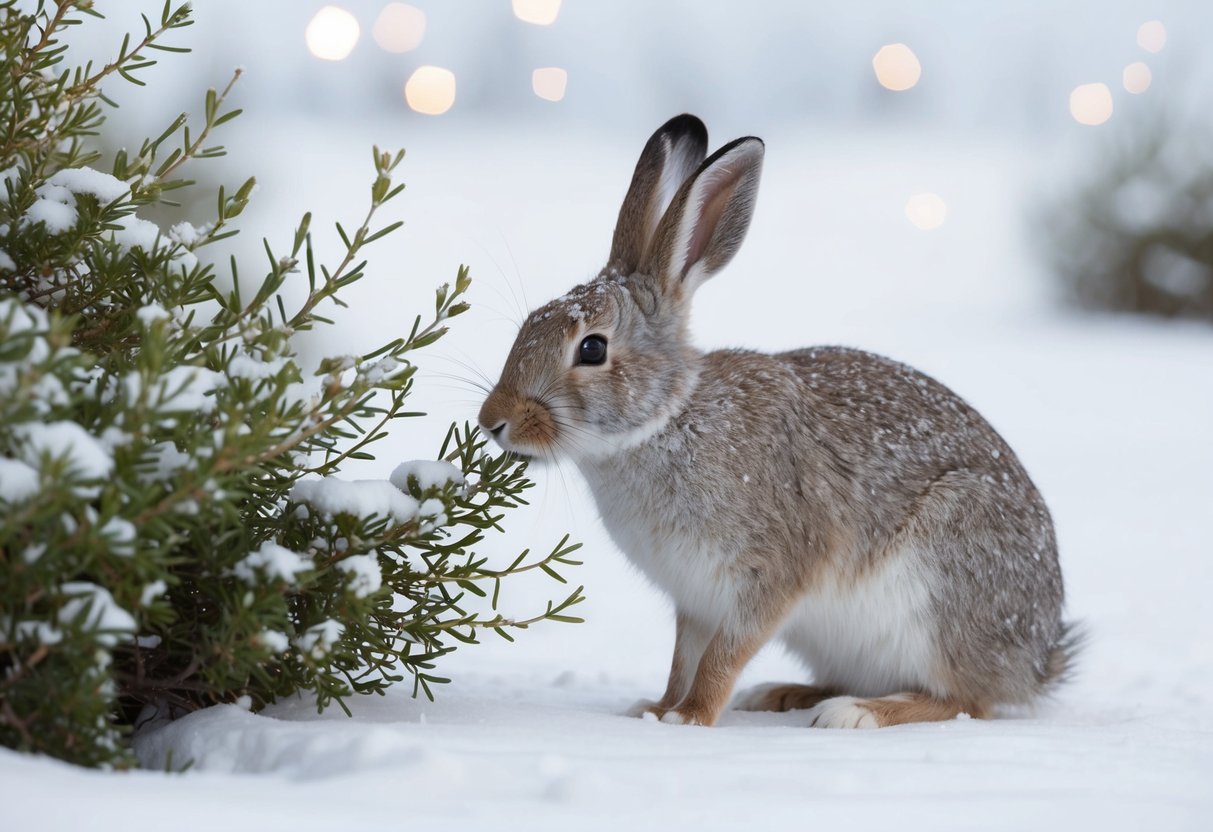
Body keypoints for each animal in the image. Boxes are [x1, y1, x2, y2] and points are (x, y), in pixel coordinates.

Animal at [478, 114, 1077, 729]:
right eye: (530, 323)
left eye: (592, 349)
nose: (491, 420)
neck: (667, 421)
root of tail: (1037, 661)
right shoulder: (694, 598)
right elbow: (683, 656)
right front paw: (656, 708)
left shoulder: (769, 574)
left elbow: (723, 655)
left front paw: (691, 718)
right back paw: (782, 694)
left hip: (940, 590)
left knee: (965, 701)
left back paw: (854, 713)